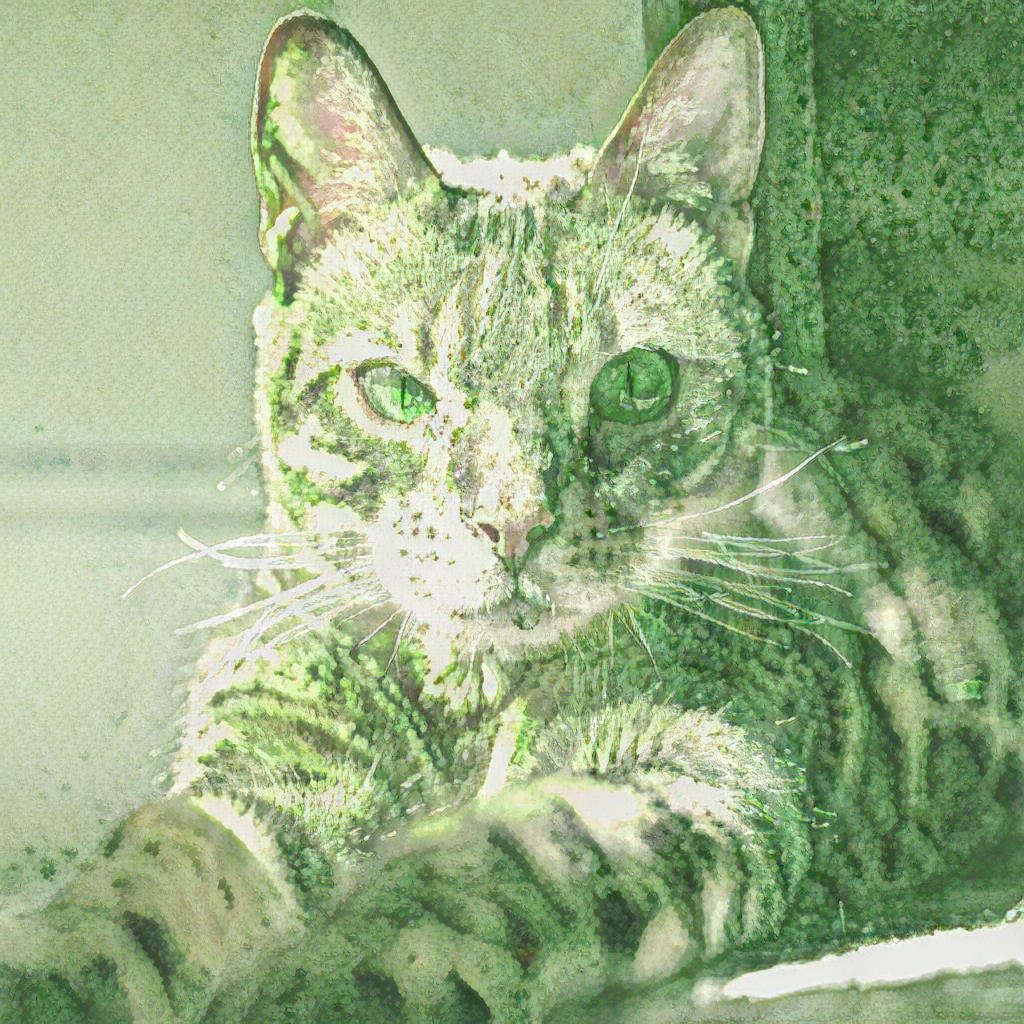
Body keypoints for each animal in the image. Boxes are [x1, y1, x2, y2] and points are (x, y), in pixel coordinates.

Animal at [3, 8, 1022, 1023]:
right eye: (395, 391)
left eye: (638, 384)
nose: (514, 524)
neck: (472, 691)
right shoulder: (266, 769)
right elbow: (151, 879)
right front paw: (53, 964)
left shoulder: (703, 769)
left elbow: (480, 880)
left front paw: (318, 980)